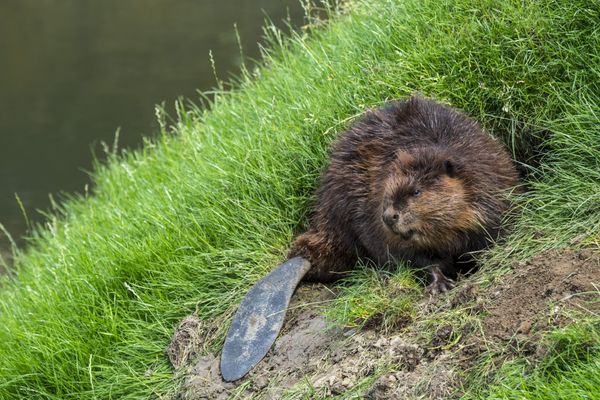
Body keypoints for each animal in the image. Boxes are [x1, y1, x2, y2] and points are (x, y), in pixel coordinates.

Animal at [288, 95, 516, 292]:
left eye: (416, 191)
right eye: (387, 193)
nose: (389, 216)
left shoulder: (491, 187)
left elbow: (489, 234)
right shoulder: (376, 221)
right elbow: (416, 258)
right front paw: (440, 284)